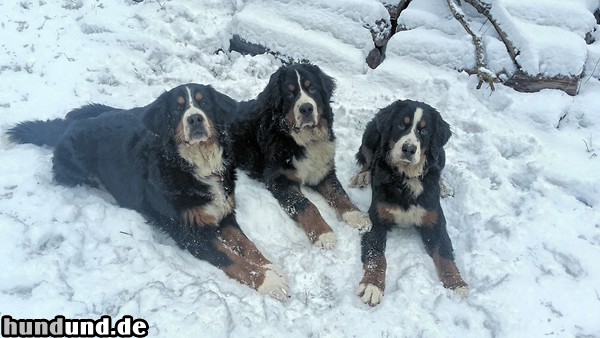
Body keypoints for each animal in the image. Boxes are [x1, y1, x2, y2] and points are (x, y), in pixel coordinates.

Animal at [6, 84, 290, 302]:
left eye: (204, 103)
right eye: (177, 108)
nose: (195, 118)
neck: (197, 166)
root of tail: (68, 127)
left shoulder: (225, 213)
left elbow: (248, 245)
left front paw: (271, 267)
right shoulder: (190, 232)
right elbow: (230, 258)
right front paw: (269, 282)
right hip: (74, 167)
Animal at [230, 64, 370, 248]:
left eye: (312, 89)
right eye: (290, 94)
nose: (306, 108)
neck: (303, 141)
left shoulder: (322, 171)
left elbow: (339, 193)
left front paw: (356, 216)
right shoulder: (280, 180)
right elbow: (306, 205)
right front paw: (323, 234)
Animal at [346, 98, 468, 306]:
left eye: (424, 131)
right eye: (401, 125)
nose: (409, 149)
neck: (407, 178)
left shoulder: (435, 223)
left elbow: (445, 255)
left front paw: (458, 286)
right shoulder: (376, 221)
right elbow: (377, 256)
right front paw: (372, 285)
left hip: (440, 152)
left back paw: (444, 185)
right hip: (370, 136)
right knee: (367, 160)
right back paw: (362, 176)